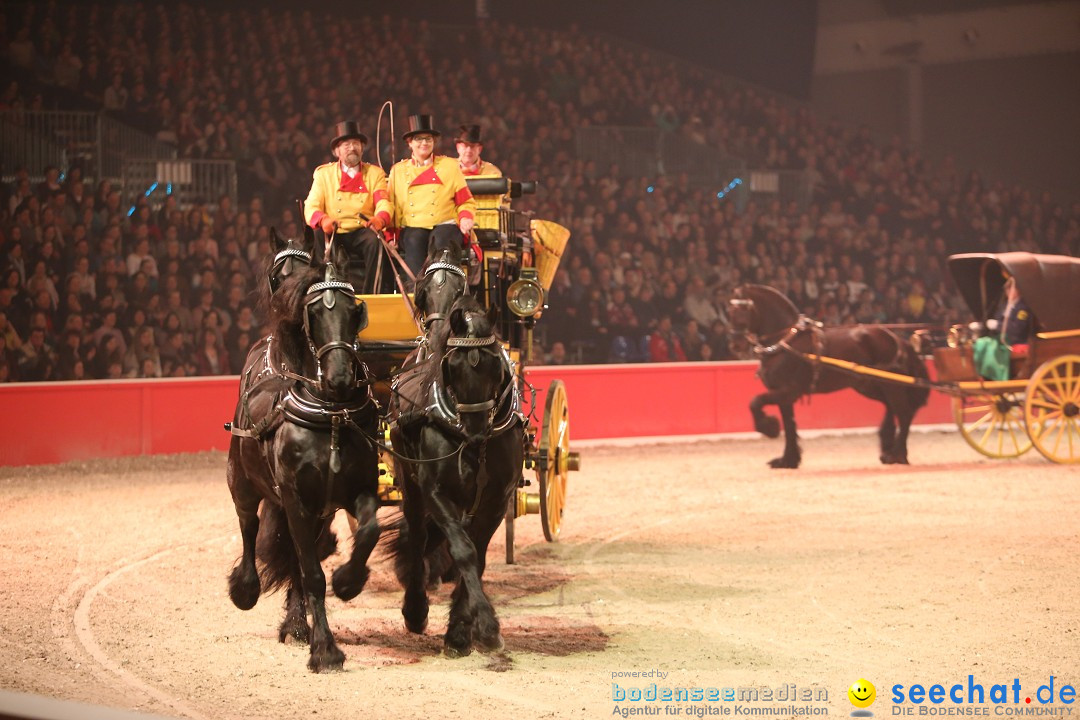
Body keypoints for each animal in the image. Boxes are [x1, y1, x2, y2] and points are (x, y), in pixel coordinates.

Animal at [225, 243, 382, 677]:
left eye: (353, 309)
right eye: (315, 314)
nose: (341, 377)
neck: (331, 416)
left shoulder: (358, 489)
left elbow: (368, 531)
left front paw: (348, 580)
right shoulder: (295, 499)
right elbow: (311, 574)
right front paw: (325, 650)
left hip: (318, 512)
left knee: (297, 551)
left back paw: (297, 622)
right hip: (242, 482)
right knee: (249, 525)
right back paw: (246, 588)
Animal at [388, 293, 527, 660]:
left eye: (496, 366)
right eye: (454, 367)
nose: (476, 430)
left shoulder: (496, 500)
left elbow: (476, 556)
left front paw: (462, 629)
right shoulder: (436, 493)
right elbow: (463, 551)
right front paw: (487, 628)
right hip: (411, 487)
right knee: (417, 536)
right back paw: (415, 609)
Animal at [725, 284, 928, 470]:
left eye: (742, 310)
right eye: (729, 311)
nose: (736, 345)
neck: (785, 341)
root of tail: (895, 338)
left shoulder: (788, 391)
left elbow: (755, 402)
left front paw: (770, 428)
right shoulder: (783, 395)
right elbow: (789, 425)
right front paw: (788, 460)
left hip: (891, 384)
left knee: (904, 412)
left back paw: (897, 454)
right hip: (869, 385)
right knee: (891, 407)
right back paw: (888, 449)